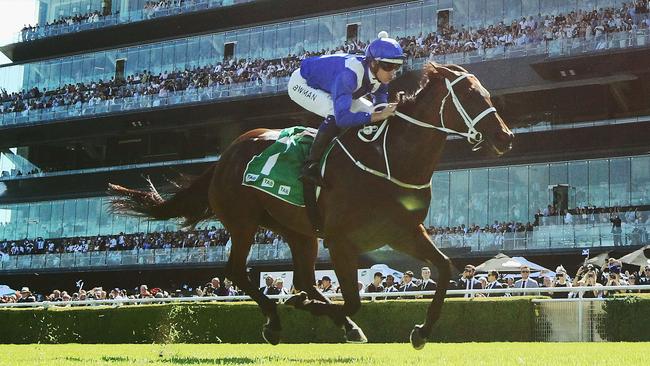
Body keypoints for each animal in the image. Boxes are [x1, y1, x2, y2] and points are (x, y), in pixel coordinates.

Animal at [107, 62, 512, 348]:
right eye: (471, 96)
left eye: (487, 94)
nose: (505, 137)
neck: (388, 160)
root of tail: (227, 153)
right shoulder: (341, 240)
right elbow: (351, 300)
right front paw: (302, 306)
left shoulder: (402, 233)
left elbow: (443, 269)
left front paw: (421, 332)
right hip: (243, 221)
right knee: (238, 271)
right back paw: (276, 319)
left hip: (298, 231)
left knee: (303, 278)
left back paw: (323, 317)